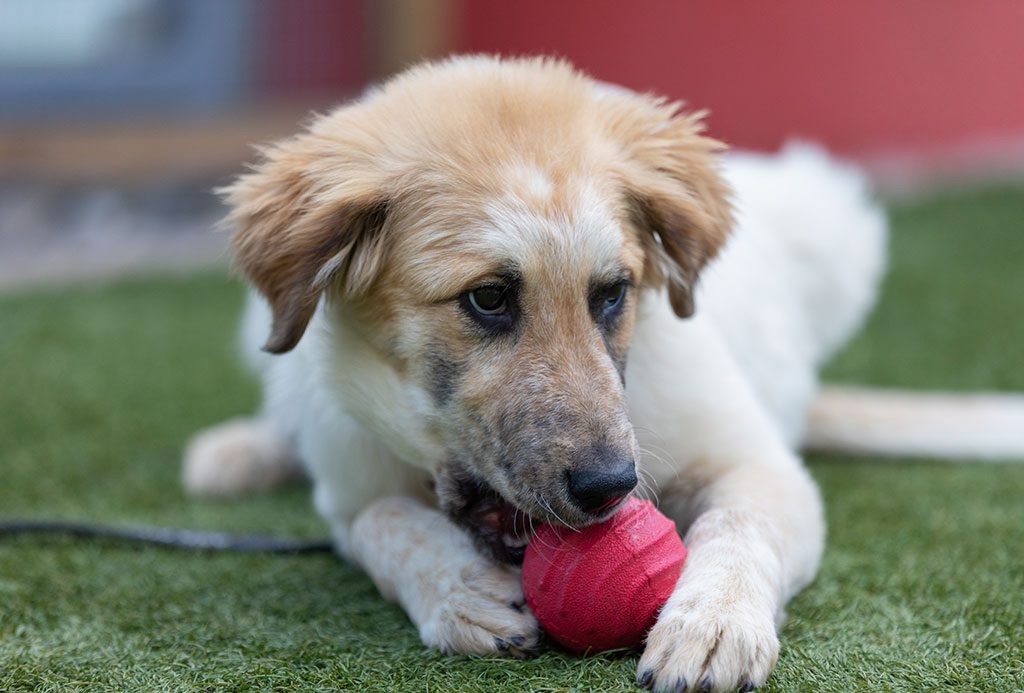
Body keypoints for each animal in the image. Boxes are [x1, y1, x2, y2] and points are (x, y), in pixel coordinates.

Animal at [182, 55, 999, 691]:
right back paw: (243, 449)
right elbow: (386, 522)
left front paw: (712, 624)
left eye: (612, 293)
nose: (610, 486)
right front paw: (461, 592)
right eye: (488, 298)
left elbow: (740, 525)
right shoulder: (350, 488)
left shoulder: (759, 464)